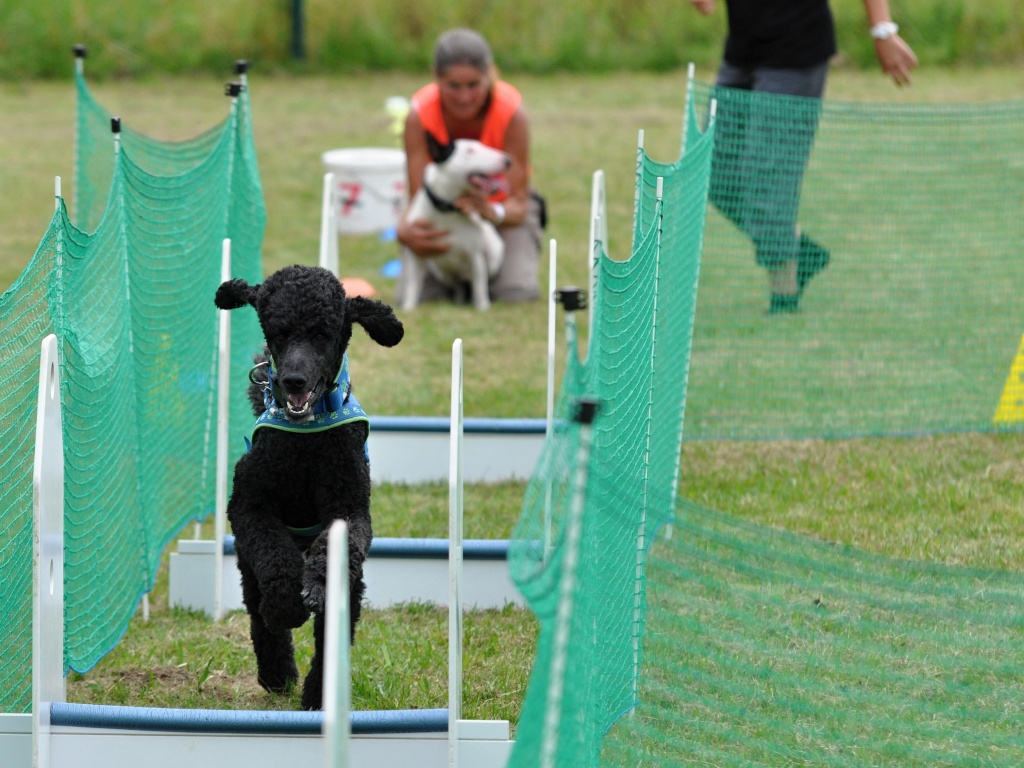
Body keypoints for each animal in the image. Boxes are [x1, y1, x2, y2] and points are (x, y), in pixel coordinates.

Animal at [214, 265, 404, 710]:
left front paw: (316, 587)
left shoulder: (350, 508)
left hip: (353, 583)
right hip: (247, 564)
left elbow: (335, 549)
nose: (293, 380)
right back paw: (278, 673)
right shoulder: (248, 507)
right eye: (277, 332)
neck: (305, 440)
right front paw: (287, 605)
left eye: (322, 333)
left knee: (335, 628)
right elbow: (274, 556)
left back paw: (319, 693)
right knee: (257, 609)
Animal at [399, 136, 511, 311]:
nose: (507, 161)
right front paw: (409, 309)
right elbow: (412, 285)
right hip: (440, 272)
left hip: (493, 255)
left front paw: (483, 308)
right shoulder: (416, 253)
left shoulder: (476, 256)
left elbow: (480, 285)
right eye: (470, 150)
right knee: (457, 285)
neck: (448, 210)